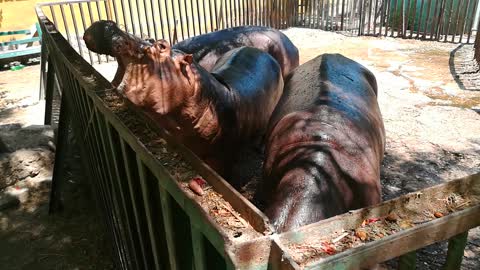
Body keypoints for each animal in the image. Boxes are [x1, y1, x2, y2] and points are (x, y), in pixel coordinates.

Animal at [113, 39, 284, 176]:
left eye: (162, 46)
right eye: (150, 39)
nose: (122, 40)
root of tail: (265, 54)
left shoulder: (224, 157)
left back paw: (259, 149)